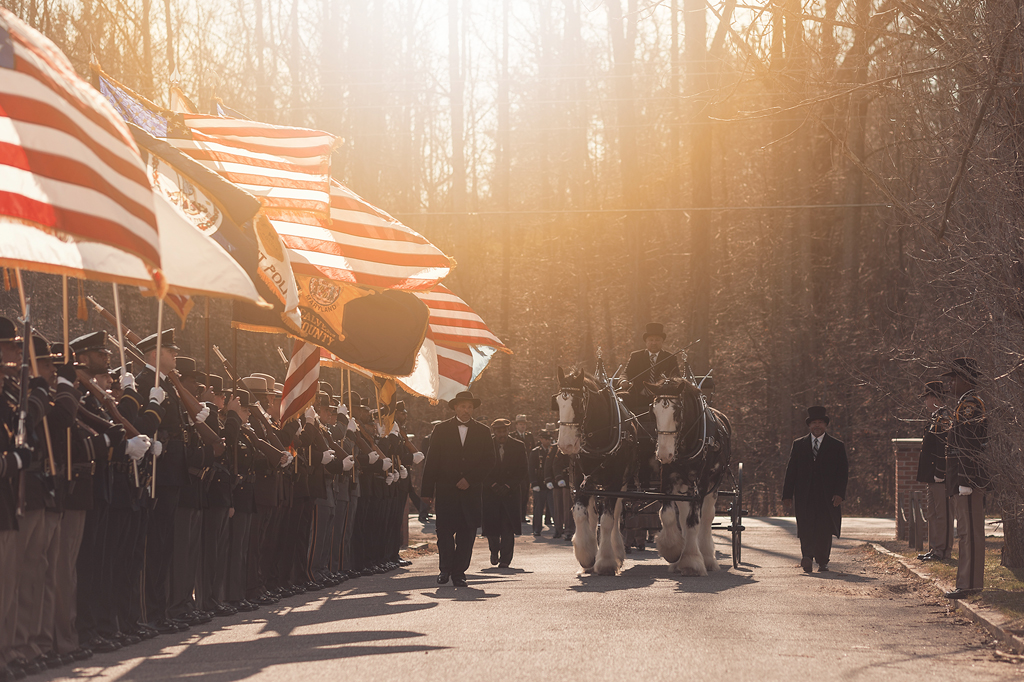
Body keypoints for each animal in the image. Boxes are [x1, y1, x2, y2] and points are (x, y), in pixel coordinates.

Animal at [557, 364, 634, 569]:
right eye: (558, 402)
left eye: (577, 404)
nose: (566, 445)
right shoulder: (578, 478)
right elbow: (580, 514)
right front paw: (586, 554)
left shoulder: (614, 482)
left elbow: (607, 520)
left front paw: (606, 561)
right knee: (591, 515)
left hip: (622, 481)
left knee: (616, 513)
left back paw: (617, 551)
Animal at [647, 374, 729, 569]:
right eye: (653, 411)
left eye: (677, 412)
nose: (664, 453)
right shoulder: (668, 476)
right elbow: (668, 514)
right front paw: (673, 550)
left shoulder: (703, 481)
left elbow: (694, 521)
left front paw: (692, 560)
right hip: (684, 484)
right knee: (684, 513)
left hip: (714, 484)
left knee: (706, 517)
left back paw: (707, 556)